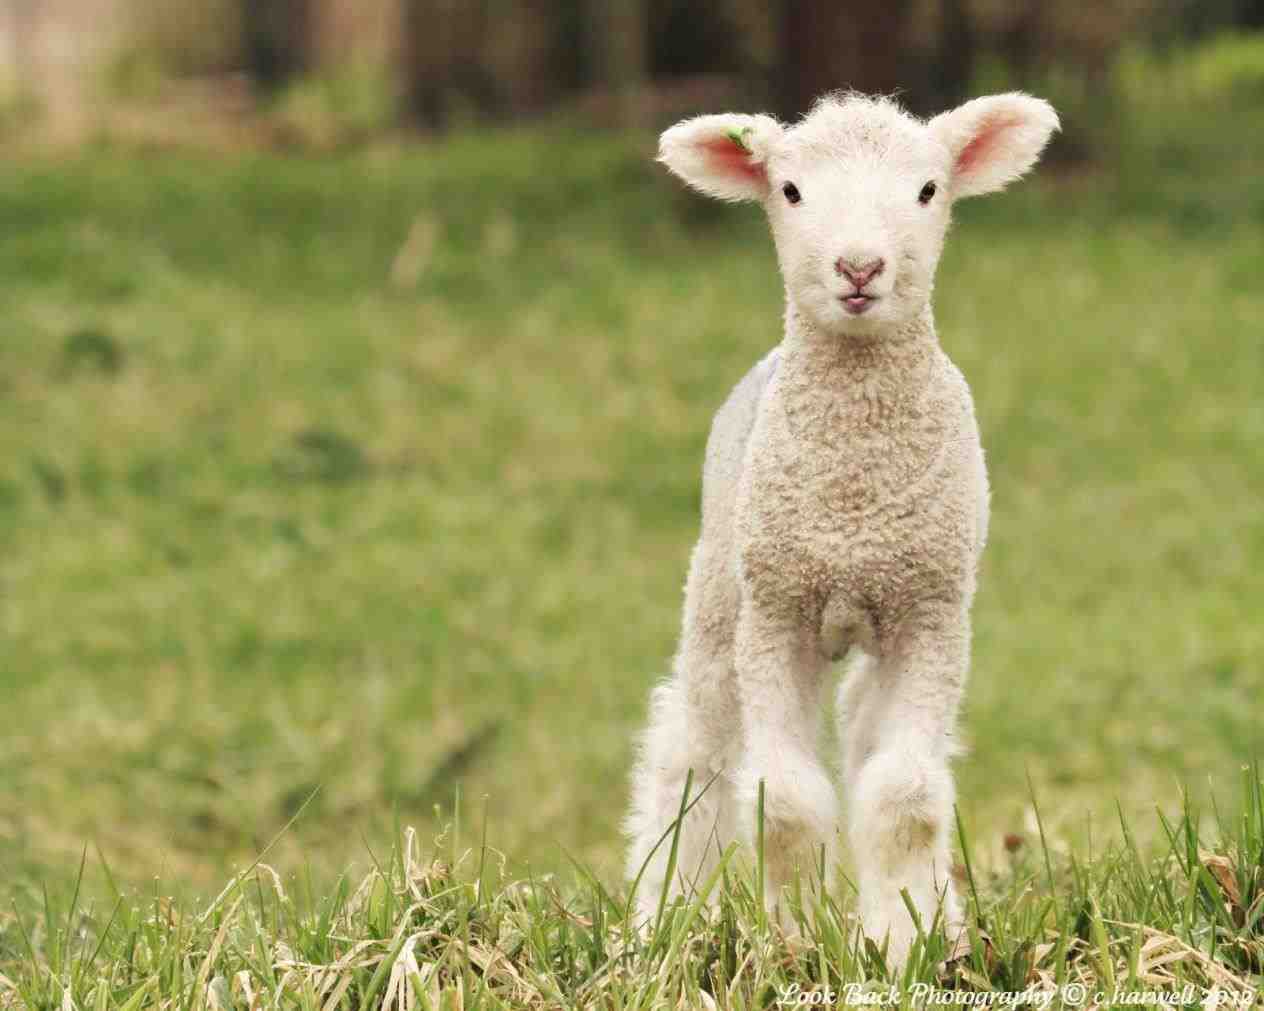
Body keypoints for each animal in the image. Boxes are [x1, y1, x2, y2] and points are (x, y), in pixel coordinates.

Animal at [625, 91, 1058, 964]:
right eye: (789, 190)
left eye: (928, 189)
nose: (859, 269)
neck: (854, 504)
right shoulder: (777, 615)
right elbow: (785, 802)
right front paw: (792, 940)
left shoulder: (930, 614)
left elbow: (905, 794)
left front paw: (900, 939)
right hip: (721, 588)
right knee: (692, 744)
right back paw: (661, 914)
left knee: (864, 736)